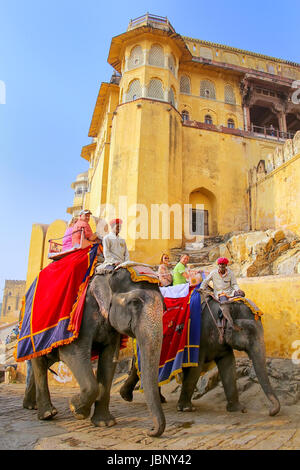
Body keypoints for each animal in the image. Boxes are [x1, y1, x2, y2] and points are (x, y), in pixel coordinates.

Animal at [22, 266, 166, 438]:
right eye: (135, 302)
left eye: (164, 306)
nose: (149, 431)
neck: (107, 277)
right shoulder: (83, 316)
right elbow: (73, 352)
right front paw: (76, 409)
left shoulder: (111, 327)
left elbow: (109, 360)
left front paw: (105, 423)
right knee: (39, 361)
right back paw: (47, 414)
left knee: (44, 361)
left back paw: (31, 406)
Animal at [119, 296, 282, 416]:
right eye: (248, 331)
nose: (270, 411)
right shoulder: (198, 339)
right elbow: (195, 369)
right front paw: (186, 409)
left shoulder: (221, 343)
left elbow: (229, 366)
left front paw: (238, 409)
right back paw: (128, 397)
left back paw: (150, 398)